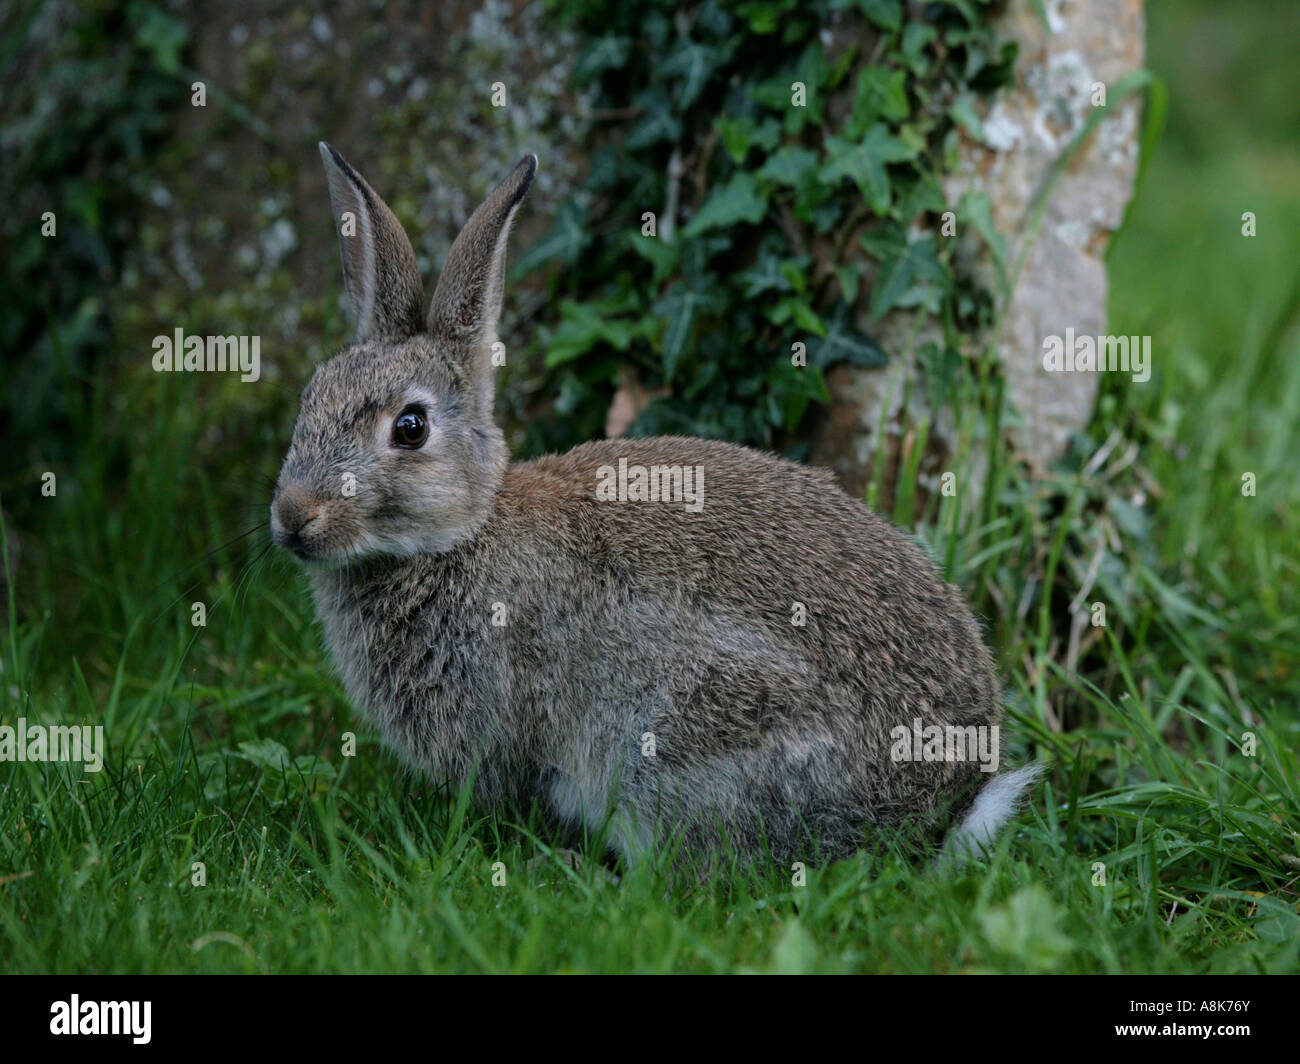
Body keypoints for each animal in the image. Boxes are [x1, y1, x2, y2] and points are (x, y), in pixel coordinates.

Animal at [270, 143, 1040, 871]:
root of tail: (941, 808)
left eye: (410, 428)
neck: (461, 534)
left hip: (680, 738)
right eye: (310, 397)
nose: (292, 516)